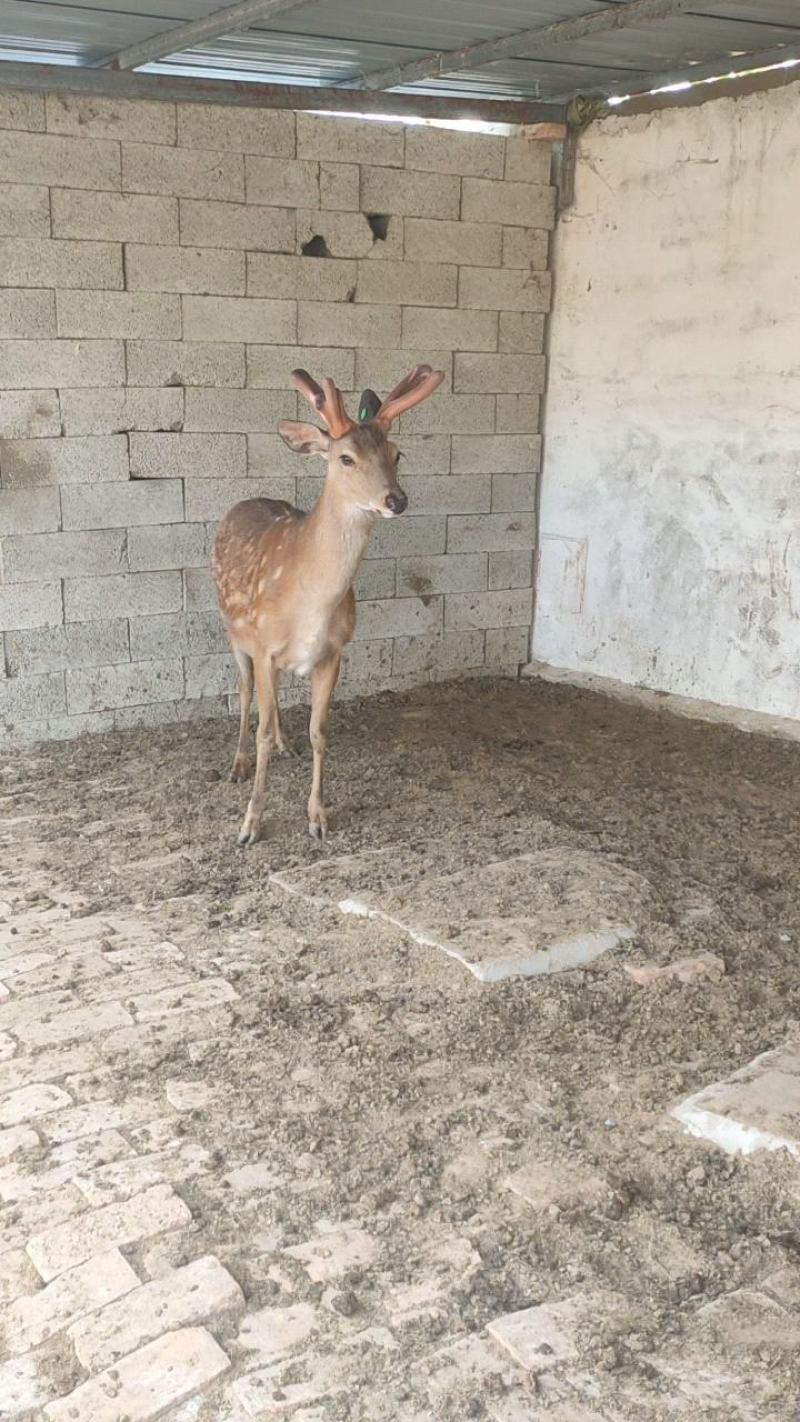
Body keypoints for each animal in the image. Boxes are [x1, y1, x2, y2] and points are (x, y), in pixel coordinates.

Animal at [212, 364, 445, 847]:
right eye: (346, 458)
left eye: (397, 454)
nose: (396, 500)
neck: (310, 605)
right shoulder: (263, 646)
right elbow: (261, 730)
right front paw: (250, 824)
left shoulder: (334, 652)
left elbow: (320, 732)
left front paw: (318, 817)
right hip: (233, 630)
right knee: (244, 692)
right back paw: (239, 764)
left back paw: (288, 745)